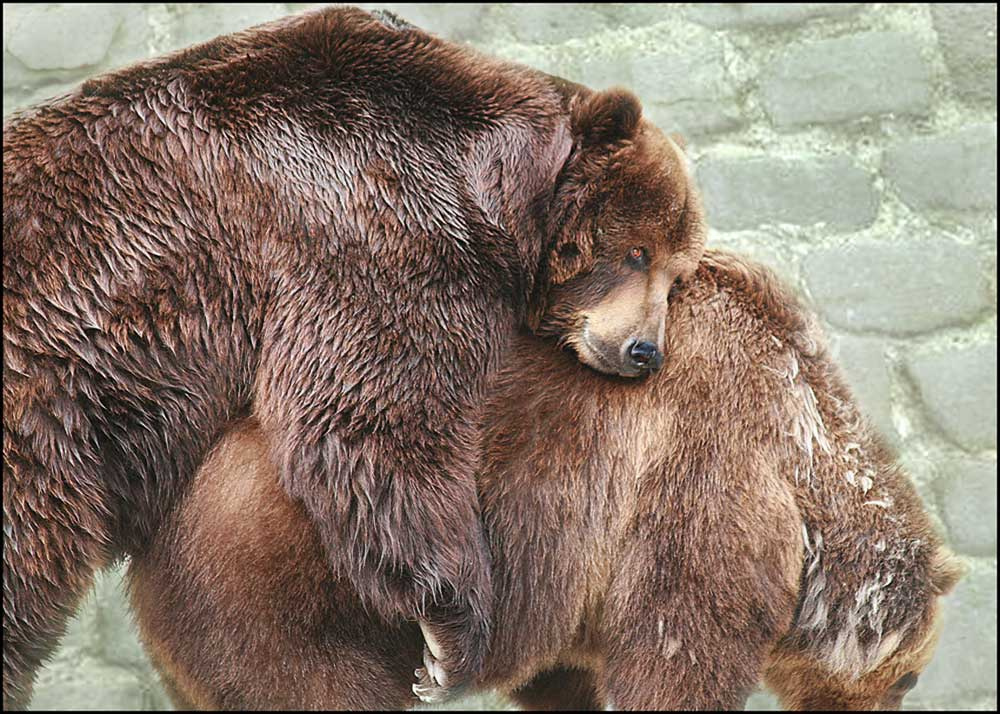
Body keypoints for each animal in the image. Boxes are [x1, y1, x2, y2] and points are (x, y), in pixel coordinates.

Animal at [1, 6, 705, 708]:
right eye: (636, 251)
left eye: (678, 273)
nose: (645, 350)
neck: (496, 182)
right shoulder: (373, 218)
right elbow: (370, 420)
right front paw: (451, 638)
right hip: (46, 407)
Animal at [125, 248, 964, 710]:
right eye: (911, 678)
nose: (886, 706)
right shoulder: (704, 473)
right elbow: (680, 646)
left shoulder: (565, 583)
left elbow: (559, 672)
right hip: (279, 582)